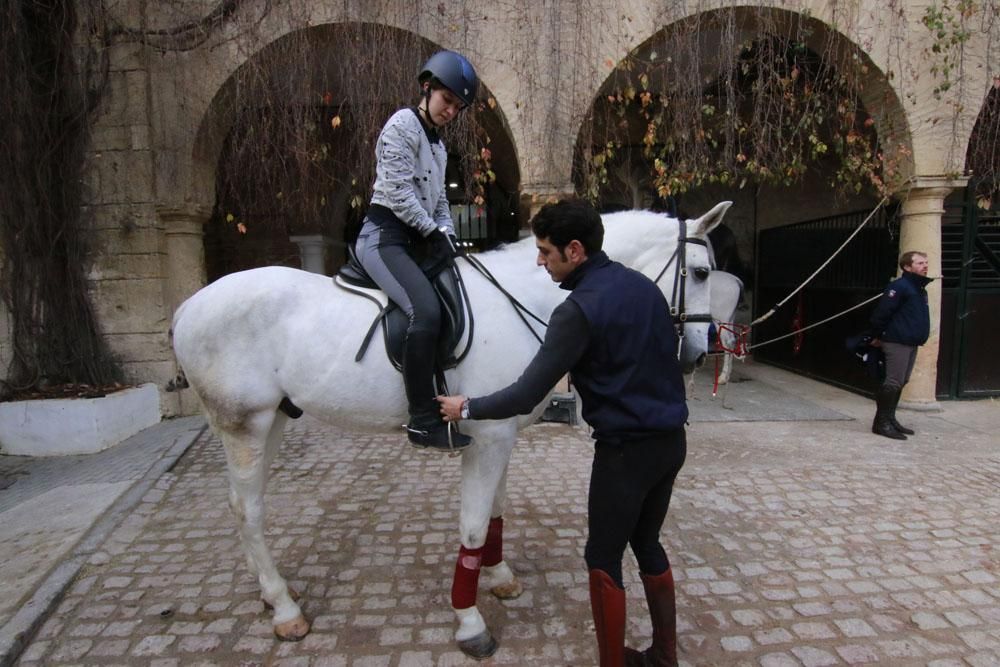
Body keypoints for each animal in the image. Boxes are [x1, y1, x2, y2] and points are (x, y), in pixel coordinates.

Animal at [170, 200, 736, 656]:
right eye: (701, 271)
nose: (695, 355)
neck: (525, 296)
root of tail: (188, 305)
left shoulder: (500, 435)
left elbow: (494, 516)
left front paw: (499, 577)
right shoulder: (486, 439)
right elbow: (472, 525)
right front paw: (470, 623)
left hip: (273, 422)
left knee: (245, 507)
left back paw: (274, 595)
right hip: (245, 426)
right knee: (248, 510)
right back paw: (286, 610)